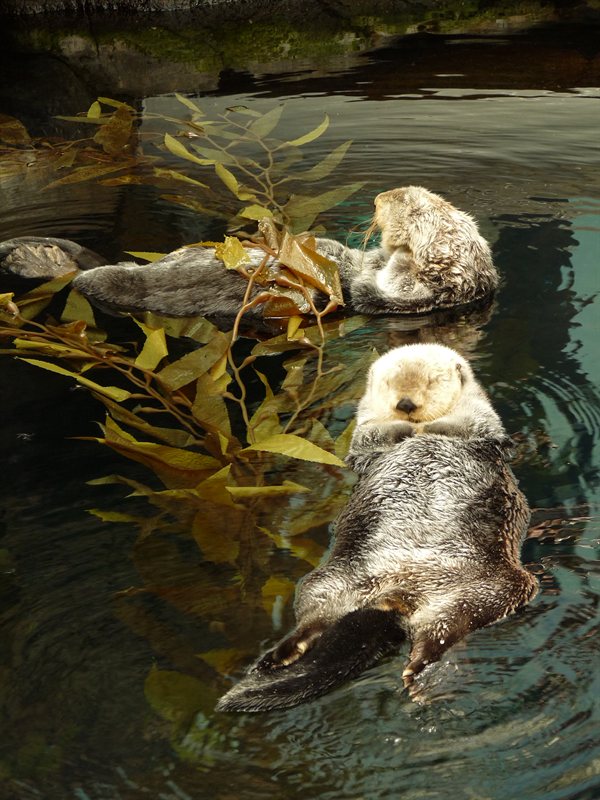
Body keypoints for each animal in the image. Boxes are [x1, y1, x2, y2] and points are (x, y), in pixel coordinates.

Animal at [0, 187, 498, 318]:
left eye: (420, 211)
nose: (380, 198)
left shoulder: (389, 296)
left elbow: (382, 283)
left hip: (116, 285)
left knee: (89, 277)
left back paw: (35, 259)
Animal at [217, 343, 537, 712]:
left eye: (431, 382)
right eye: (389, 385)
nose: (406, 404)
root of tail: (398, 594)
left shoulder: (483, 422)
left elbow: (467, 427)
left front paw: (429, 428)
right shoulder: (364, 433)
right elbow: (371, 438)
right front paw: (402, 430)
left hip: (495, 588)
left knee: (444, 632)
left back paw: (418, 670)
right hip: (329, 581)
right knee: (313, 621)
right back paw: (281, 654)